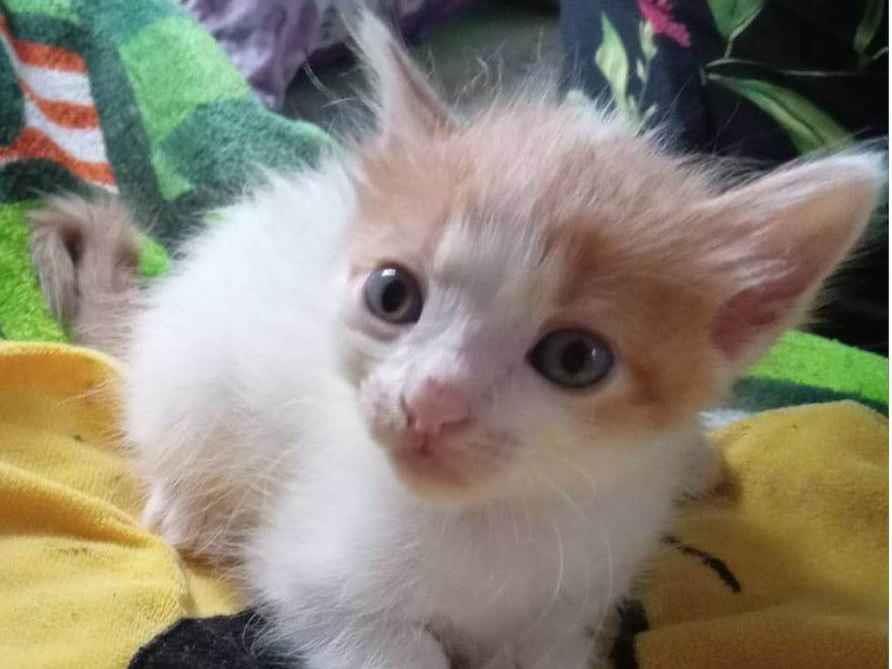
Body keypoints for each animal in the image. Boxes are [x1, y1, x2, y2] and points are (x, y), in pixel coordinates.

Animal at [28, 11, 884, 669]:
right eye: (392, 294)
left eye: (577, 358)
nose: (429, 398)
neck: (490, 525)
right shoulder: (319, 580)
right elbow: (387, 640)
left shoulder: (573, 599)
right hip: (193, 373)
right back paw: (188, 505)